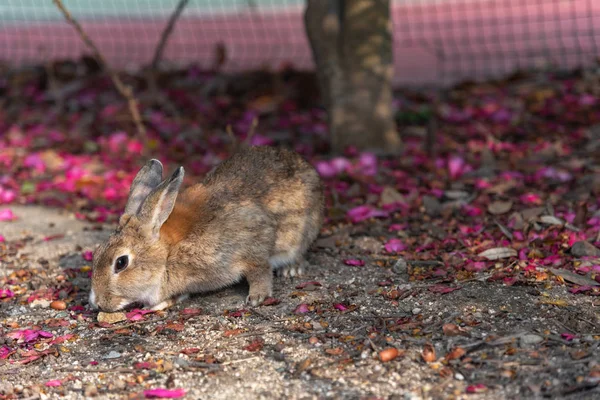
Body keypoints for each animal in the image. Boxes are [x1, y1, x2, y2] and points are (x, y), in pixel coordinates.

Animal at [88, 147, 324, 312]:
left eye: (121, 263)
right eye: (96, 253)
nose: (97, 303)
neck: (168, 254)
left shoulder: (251, 243)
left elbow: (260, 270)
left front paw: (257, 297)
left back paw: (292, 268)